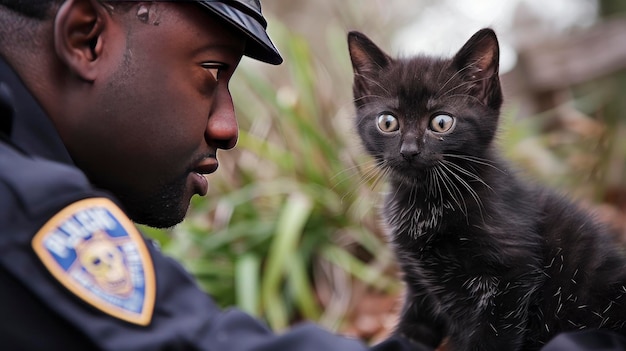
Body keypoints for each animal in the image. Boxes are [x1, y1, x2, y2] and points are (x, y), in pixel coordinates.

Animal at [346, 28, 624, 351]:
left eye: (441, 122)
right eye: (388, 121)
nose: (409, 151)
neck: (428, 201)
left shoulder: (510, 279)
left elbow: (491, 338)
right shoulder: (418, 284)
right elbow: (410, 333)